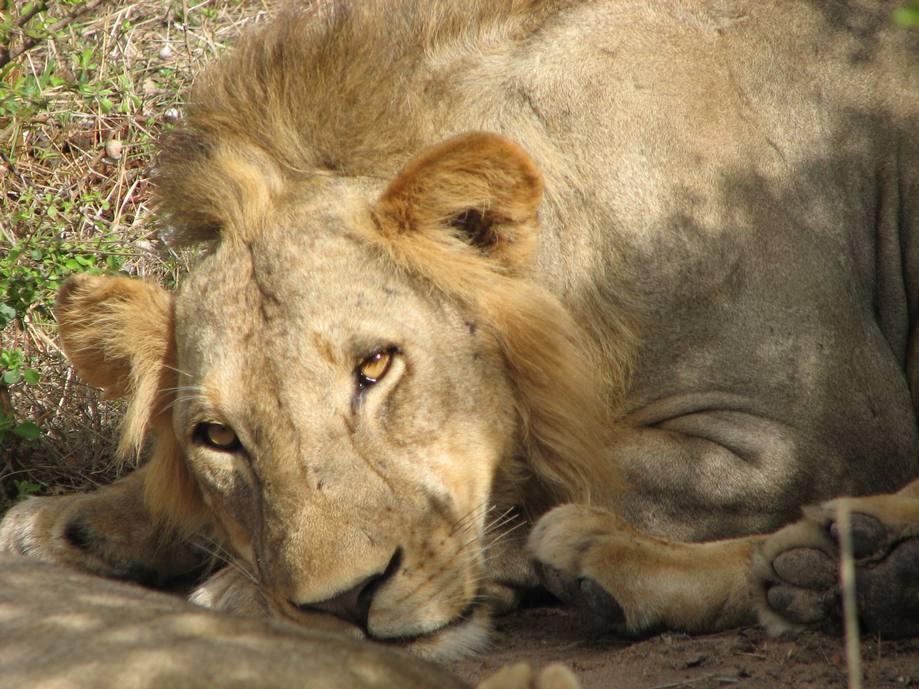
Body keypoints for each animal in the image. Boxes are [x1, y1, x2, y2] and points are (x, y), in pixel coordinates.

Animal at [1, 0, 919, 668]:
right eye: (217, 436)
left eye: (377, 365)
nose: (342, 603)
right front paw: (78, 522)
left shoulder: (808, 433)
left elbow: (550, 474)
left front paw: (234, 585)